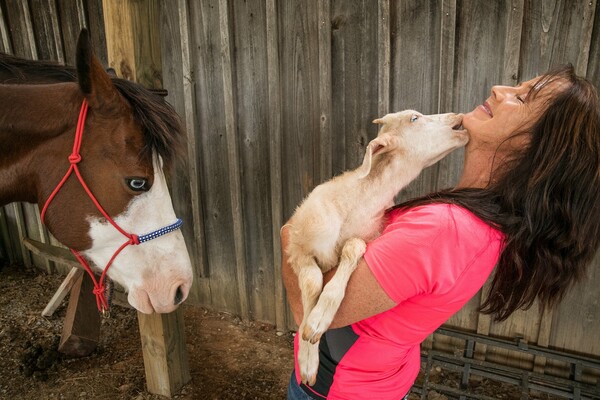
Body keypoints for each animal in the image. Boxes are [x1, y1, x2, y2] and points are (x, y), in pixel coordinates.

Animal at [286, 109, 468, 384]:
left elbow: (352, 247)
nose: (457, 115)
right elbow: (312, 282)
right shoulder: (298, 247)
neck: (355, 203)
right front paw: (308, 354)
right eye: (415, 118)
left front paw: (319, 319)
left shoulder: (368, 237)